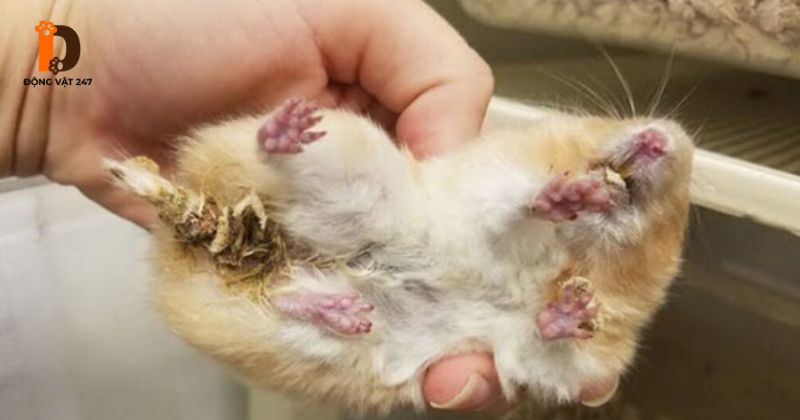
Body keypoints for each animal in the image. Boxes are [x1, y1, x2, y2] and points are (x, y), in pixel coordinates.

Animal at [103, 97, 693, 415]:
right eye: (601, 121)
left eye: (681, 208)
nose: (664, 139)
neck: (573, 254)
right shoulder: (484, 192)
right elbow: (515, 207)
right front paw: (568, 195)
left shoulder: (572, 364)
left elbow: (543, 342)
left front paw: (572, 311)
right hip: (346, 172)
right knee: (273, 155)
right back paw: (286, 130)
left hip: (316, 337)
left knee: (287, 298)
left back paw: (338, 308)